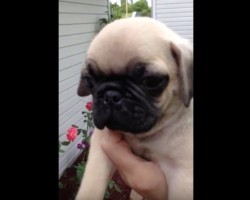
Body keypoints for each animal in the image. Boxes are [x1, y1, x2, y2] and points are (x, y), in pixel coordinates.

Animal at [75, 17, 192, 200]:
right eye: (89, 81)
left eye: (151, 81)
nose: (111, 95)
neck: (143, 136)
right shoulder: (99, 146)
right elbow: (93, 181)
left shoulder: (183, 174)